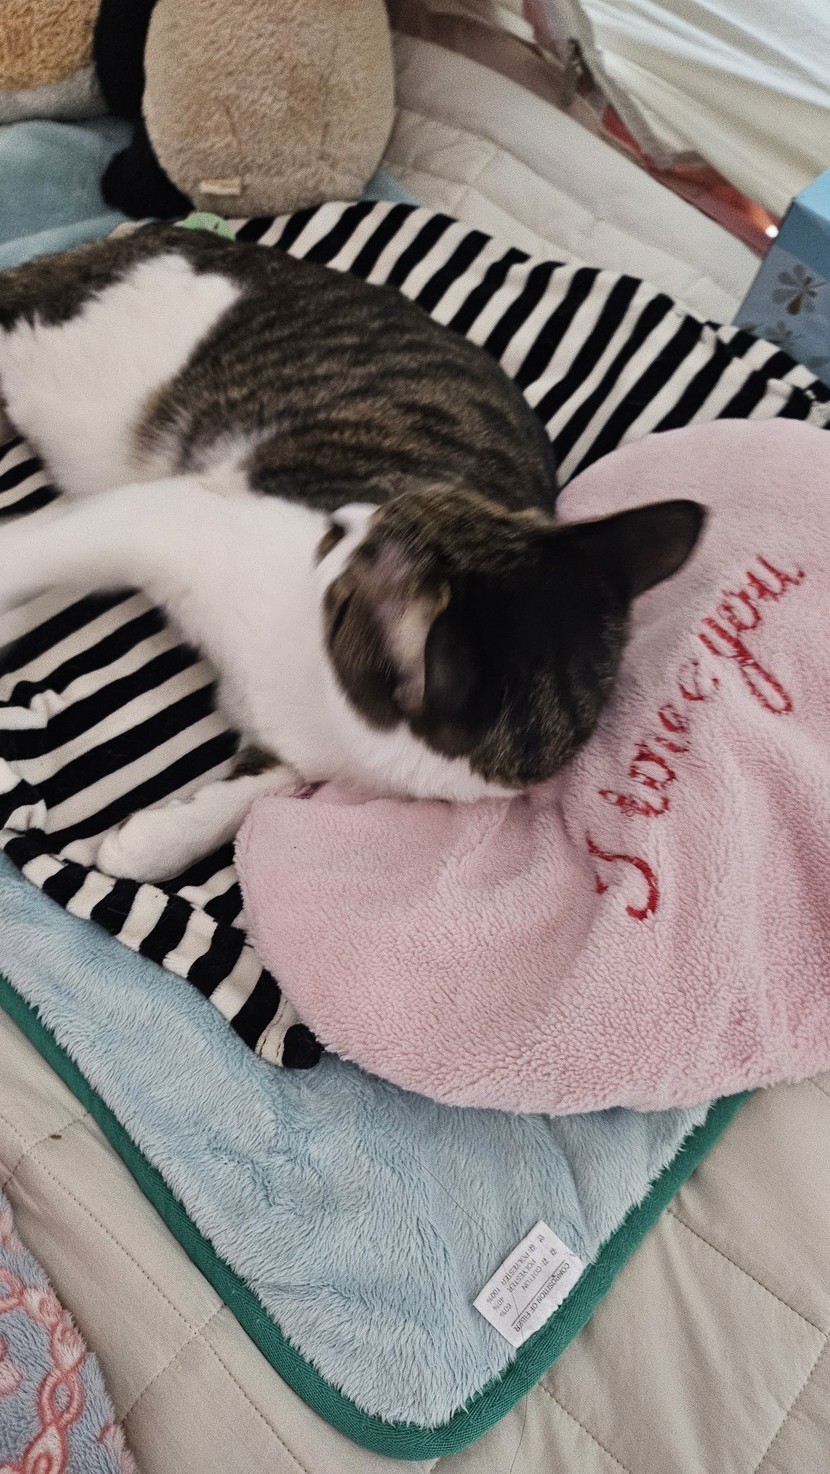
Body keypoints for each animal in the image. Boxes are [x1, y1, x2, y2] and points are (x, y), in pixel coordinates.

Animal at [0, 223, 704, 882]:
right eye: (397, 504)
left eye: (351, 558)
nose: (343, 514)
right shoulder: (171, 518)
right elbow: (41, 552)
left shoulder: (303, 749)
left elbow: (261, 789)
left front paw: (154, 840)